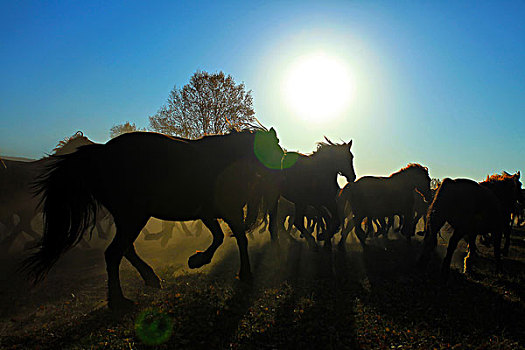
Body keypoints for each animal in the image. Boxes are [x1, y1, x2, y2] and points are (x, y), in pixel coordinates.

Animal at [21, 128, 282, 308]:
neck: (227, 159)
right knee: (114, 253)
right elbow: (236, 239)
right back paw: (119, 301)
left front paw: (198, 260)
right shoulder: (229, 212)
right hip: (133, 217)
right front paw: (243, 273)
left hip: (128, 218)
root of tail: (101, 152)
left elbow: (220, 237)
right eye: (275, 149)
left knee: (125, 249)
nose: (279, 174)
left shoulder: (210, 213)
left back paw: (149, 278)